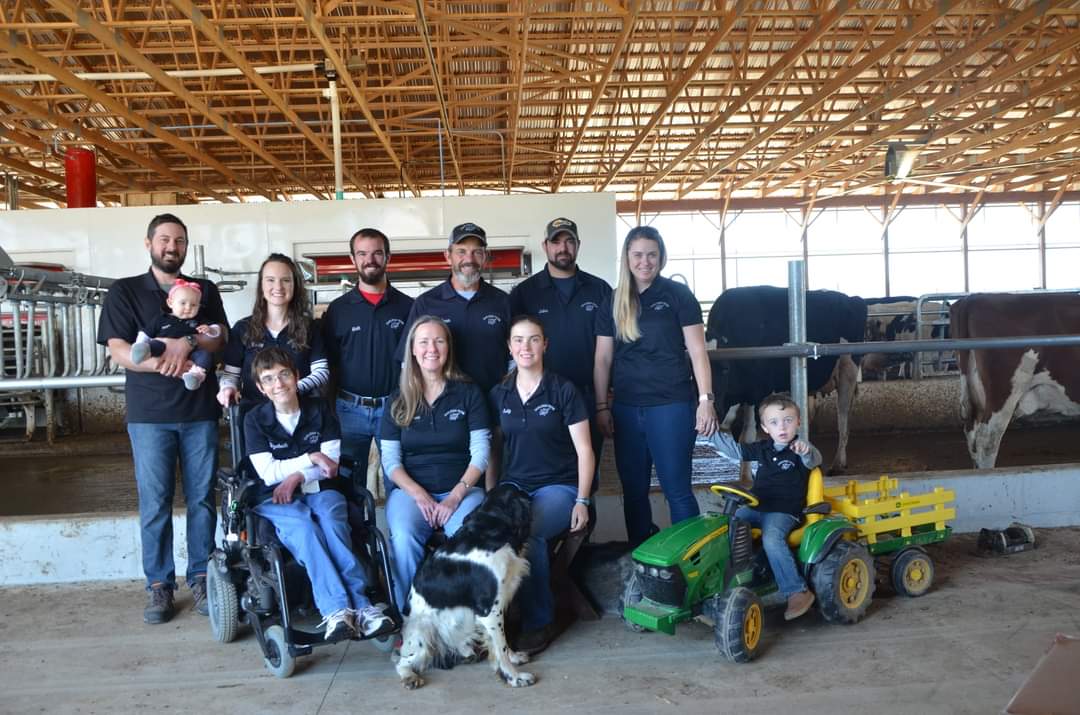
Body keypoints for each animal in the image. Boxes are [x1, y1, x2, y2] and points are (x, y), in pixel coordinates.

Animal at [395, 483, 533, 691]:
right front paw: (514, 677)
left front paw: (514, 657)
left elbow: (502, 641)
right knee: (402, 661)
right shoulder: (489, 610)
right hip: (423, 632)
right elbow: (500, 645)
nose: (532, 495)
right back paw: (410, 677)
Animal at [708, 285, 868, 475]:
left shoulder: (757, 391)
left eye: (725, 369)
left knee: (843, 416)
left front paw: (746, 479)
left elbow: (747, 436)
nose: (714, 410)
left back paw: (838, 463)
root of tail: (852, 299)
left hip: (847, 370)